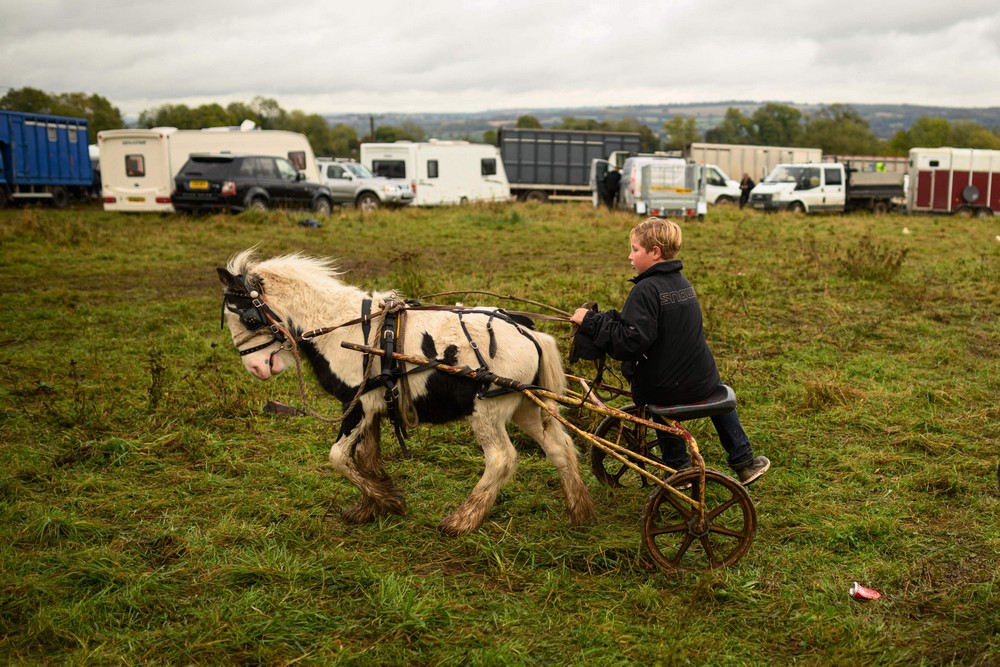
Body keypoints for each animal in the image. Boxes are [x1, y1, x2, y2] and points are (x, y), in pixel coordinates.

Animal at [219, 250, 592, 536]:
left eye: (249, 319)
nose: (255, 368)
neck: (343, 328)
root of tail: (529, 333)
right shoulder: (373, 406)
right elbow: (367, 456)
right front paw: (370, 505)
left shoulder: (355, 405)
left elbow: (338, 456)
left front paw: (389, 501)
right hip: (525, 407)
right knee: (560, 448)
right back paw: (578, 511)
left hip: (487, 413)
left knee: (502, 458)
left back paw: (463, 520)